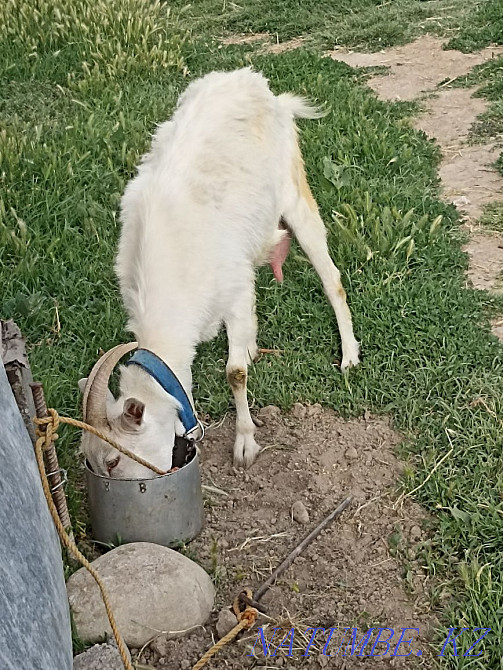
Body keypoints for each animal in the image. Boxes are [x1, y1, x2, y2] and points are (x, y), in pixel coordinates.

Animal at [79, 68, 360, 479]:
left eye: (114, 460)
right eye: (91, 460)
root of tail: (259, 86)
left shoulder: (234, 287)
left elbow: (235, 373)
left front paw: (245, 444)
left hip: (294, 192)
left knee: (331, 279)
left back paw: (349, 356)